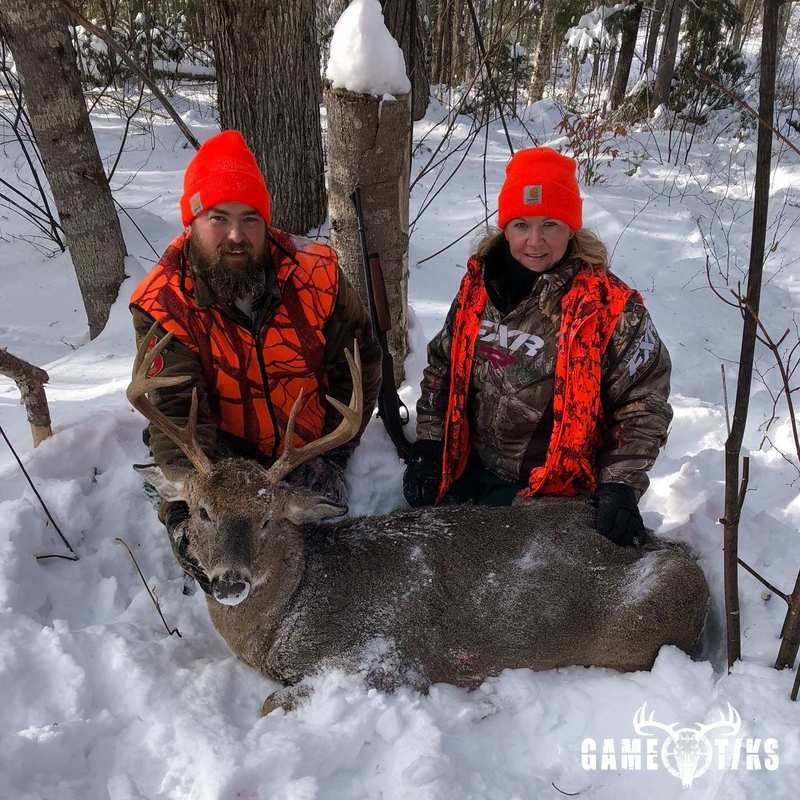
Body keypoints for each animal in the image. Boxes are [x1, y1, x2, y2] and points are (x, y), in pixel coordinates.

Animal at [130, 324, 710, 714]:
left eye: (269, 517)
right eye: (202, 510)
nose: (230, 581)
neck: (286, 612)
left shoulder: (382, 660)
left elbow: (270, 704)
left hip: (636, 634)